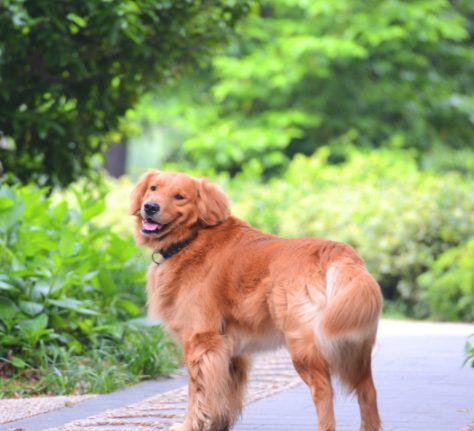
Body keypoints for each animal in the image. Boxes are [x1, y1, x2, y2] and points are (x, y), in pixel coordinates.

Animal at [131, 170, 384, 431]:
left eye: (179, 196)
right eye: (153, 188)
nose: (150, 207)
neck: (193, 237)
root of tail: (338, 252)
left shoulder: (201, 341)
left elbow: (198, 393)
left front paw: (189, 426)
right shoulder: (229, 351)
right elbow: (224, 395)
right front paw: (218, 424)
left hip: (304, 347)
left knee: (324, 392)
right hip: (356, 350)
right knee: (368, 392)